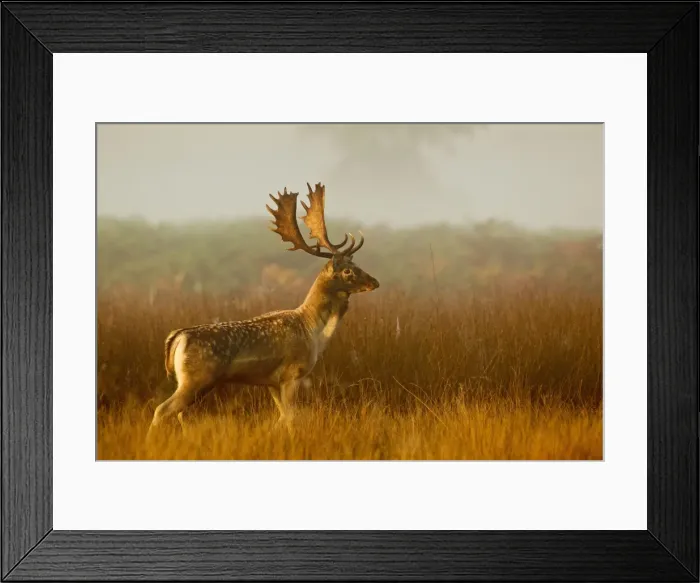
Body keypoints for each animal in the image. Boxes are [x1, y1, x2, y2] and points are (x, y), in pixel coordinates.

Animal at [147, 182, 379, 438]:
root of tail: (177, 337)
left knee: (180, 414)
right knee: (162, 409)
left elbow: (282, 417)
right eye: (347, 271)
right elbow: (291, 417)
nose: (375, 282)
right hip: (196, 378)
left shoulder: (272, 382)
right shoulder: (292, 374)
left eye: (356, 264)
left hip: (194, 382)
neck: (313, 330)